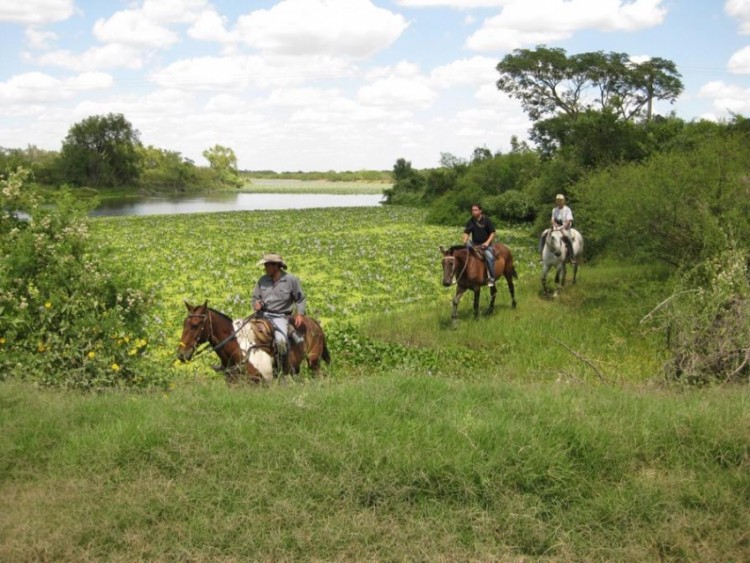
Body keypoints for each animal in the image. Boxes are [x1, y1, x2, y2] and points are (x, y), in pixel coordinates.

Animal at [178, 302, 330, 386]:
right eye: (184, 323)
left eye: (195, 325)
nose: (181, 354)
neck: (239, 348)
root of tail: (314, 322)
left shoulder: (259, 382)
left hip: (314, 362)